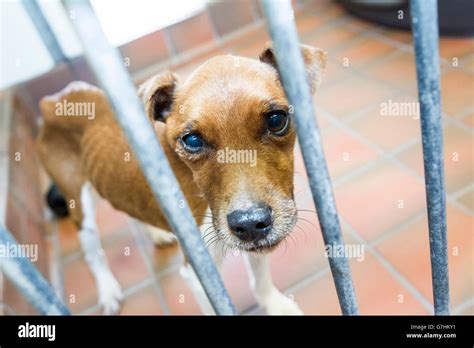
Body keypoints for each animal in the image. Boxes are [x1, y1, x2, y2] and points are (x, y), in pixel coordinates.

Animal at [37, 41, 326, 316]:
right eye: (192, 140)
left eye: (277, 119)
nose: (250, 223)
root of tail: (54, 99)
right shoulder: (200, 275)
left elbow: (261, 279)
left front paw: (274, 304)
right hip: (78, 205)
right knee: (93, 255)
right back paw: (108, 291)